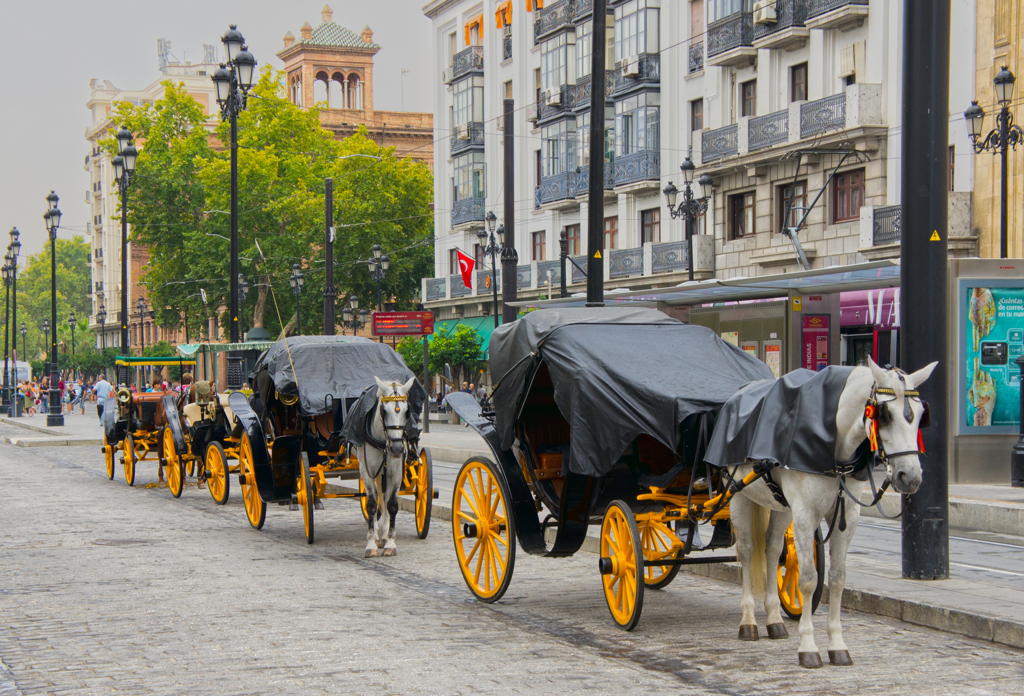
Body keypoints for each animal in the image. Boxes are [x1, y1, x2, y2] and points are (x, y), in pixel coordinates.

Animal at [354, 378, 413, 556]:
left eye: (407, 411)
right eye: (384, 410)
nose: (397, 449)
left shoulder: (396, 472)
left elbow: (391, 504)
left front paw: (390, 542)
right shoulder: (366, 472)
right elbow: (372, 504)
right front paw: (371, 542)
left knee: (385, 498)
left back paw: (384, 534)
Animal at [708, 358, 933, 667]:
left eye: (921, 414)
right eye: (885, 415)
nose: (910, 477)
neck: (834, 450)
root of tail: (737, 395)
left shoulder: (846, 517)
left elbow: (837, 579)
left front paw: (837, 643)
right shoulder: (805, 515)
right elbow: (807, 579)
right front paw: (808, 646)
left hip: (780, 505)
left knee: (771, 548)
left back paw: (774, 619)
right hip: (739, 495)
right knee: (747, 550)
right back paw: (749, 621)